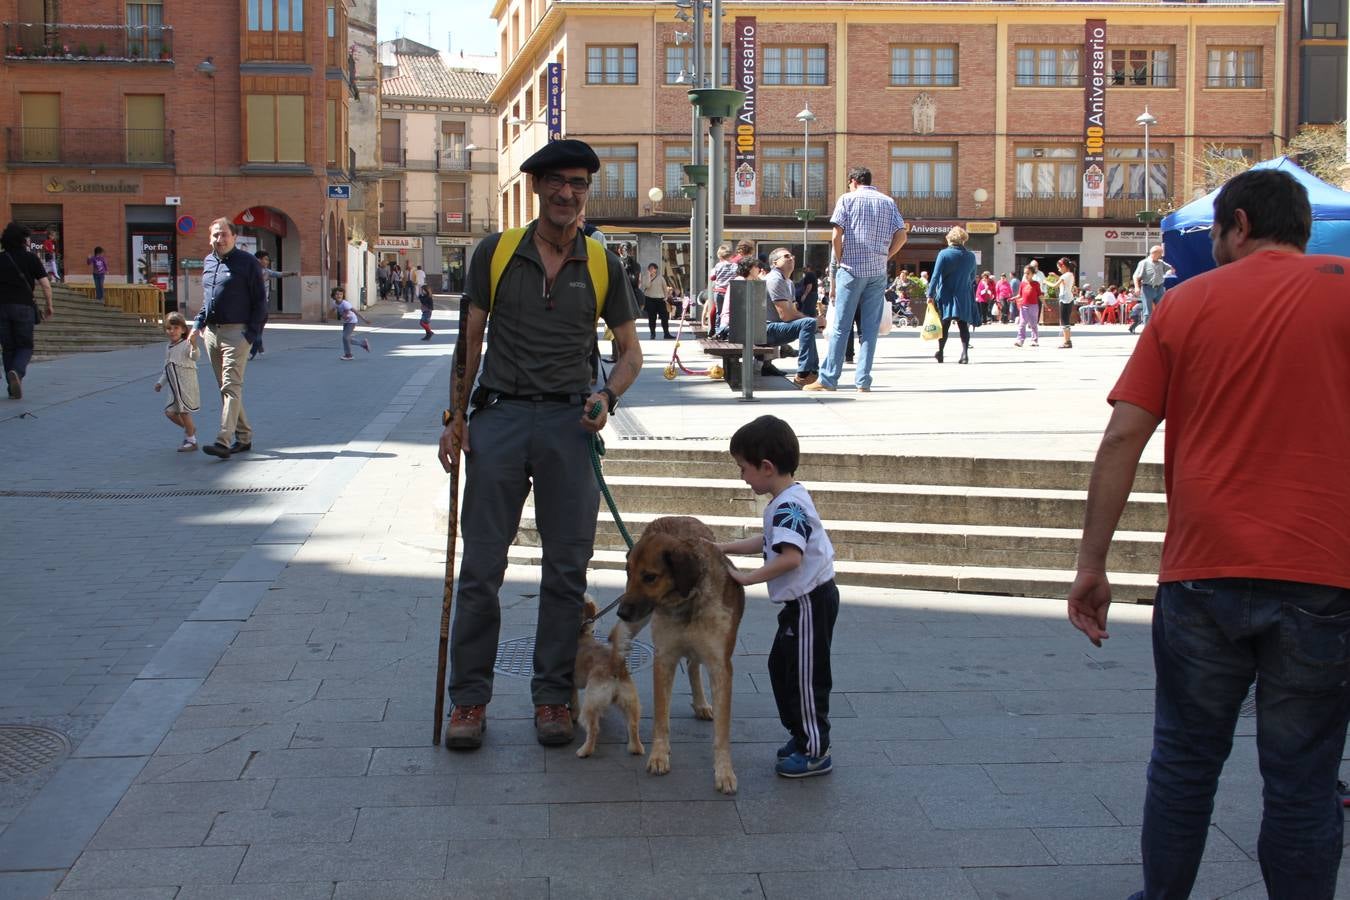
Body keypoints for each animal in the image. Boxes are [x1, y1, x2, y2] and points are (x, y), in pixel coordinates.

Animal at [618, 518, 745, 793]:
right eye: (627, 572)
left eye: (650, 577)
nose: (621, 611)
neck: (685, 600)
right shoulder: (664, 658)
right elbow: (661, 717)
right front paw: (658, 756)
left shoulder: (721, 666)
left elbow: (722, 731)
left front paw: (724, 772)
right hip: (640, 621)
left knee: (694, 664)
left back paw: (701, 704)